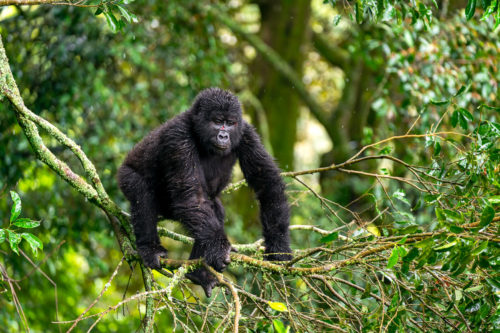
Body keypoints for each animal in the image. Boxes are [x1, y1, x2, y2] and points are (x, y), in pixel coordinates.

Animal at [117, 87, 292, 294]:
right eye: (217, 122)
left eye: (230, 123)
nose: (223, 136)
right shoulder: (178, 136)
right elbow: (192, 197)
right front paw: (219, 250)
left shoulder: (247, 133)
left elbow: (267, 182)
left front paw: (279, 246)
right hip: (126, 177)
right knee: (142, 195)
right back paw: (150, 249)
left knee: (211, 211)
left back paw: (198, 272)